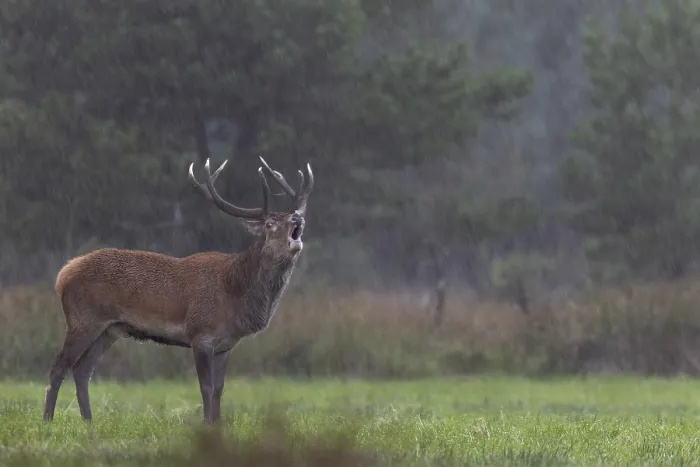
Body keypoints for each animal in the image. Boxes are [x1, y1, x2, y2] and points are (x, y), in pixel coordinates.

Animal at [42, 156, 314, 424]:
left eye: (294, 215)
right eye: (269, 223)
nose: (298, 219)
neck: (235, 294)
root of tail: (63, 275)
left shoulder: (226, 344)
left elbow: (219, 388)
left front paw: (218, 424)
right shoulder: (200, 333)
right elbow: (206, 387)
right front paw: (207, 424)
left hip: (110, 329)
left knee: (83, 369)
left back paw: (88, 421)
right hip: (83, 320)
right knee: (59, 366)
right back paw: (48, 419)